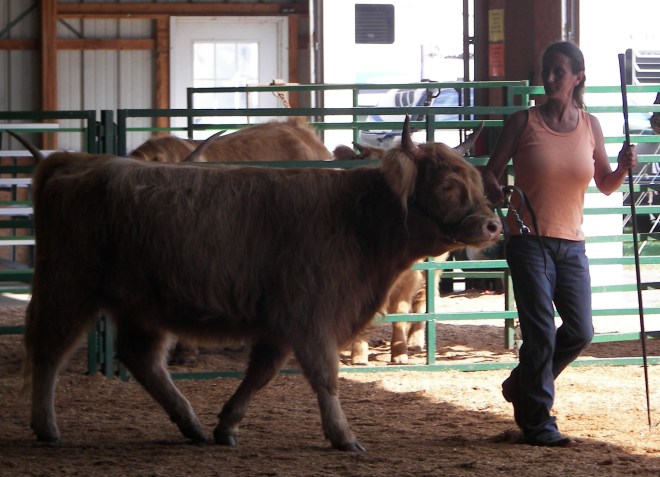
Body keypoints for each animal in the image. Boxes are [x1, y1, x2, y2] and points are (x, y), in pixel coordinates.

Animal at [23, 116, 501, 452]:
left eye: (473, 181)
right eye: (448, 185)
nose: (493, 225)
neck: (354, 218)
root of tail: (75, 163)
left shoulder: (284, 323)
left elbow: (261, 372)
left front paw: (227, 424)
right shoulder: (312, 317)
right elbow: (325, 377)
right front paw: (343, 435)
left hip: (142, 304)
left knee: (142, 359)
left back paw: (191, 424)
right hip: (68, 287)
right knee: (48, 349)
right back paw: (46, 427)